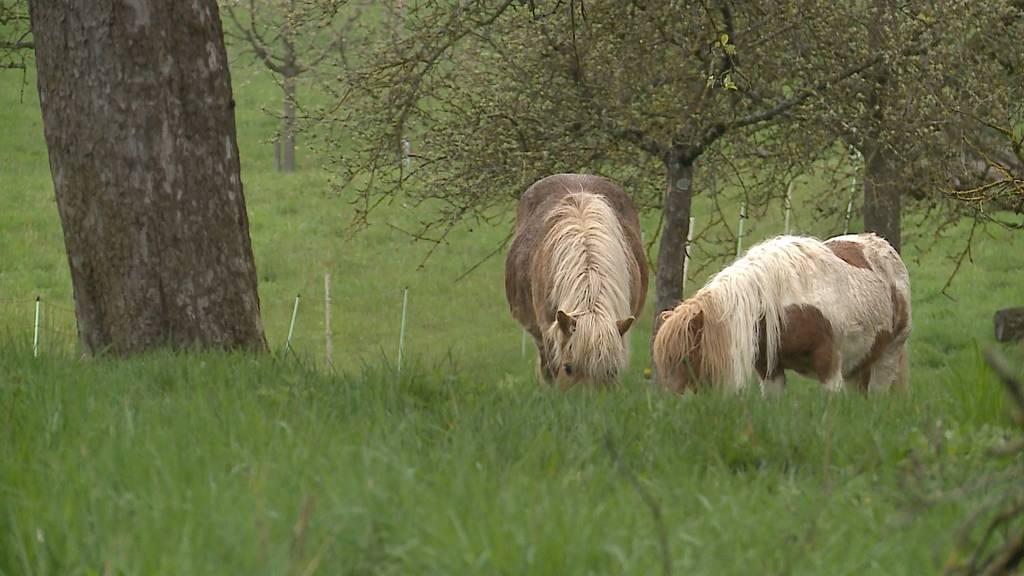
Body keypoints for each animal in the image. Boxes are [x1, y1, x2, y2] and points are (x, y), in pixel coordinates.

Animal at [651, 231, 909, 389]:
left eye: (685, 358)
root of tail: (883, 244)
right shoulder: (770, 370)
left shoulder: (829, 365)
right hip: (857, 365)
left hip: (889, 355)